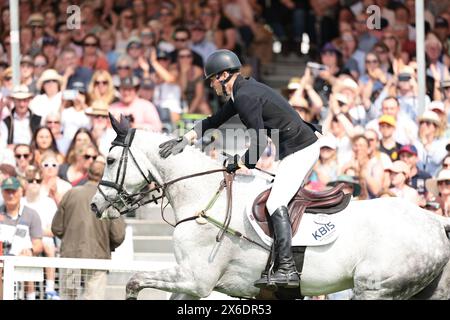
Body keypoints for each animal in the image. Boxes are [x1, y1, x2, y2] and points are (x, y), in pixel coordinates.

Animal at [90, 116, 450, 298]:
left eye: (110, 160)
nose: (94, 206)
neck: (202, 198)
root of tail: (435, 223)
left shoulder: (196, 279)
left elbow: (134, 281)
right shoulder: (189, 283)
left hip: (373, 288)